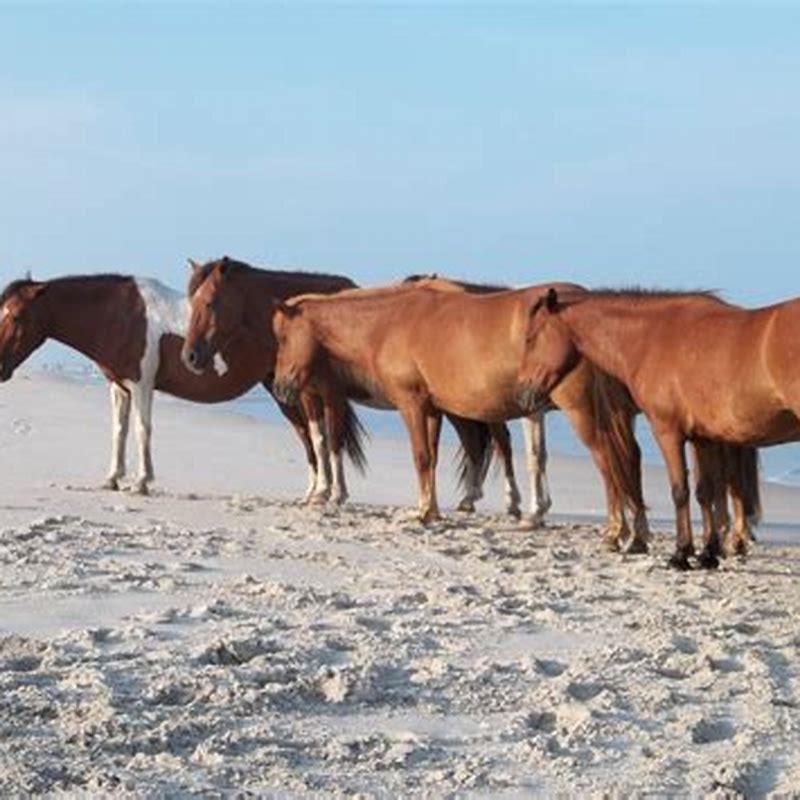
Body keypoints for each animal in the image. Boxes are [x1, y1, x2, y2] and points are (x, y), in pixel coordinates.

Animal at [0, 262, 360, 496]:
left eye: (16, 317)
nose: (1, 367)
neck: (120, 315)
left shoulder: (141, 384)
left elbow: (142, 429)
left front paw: (141, 482)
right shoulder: (119, 386)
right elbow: (119, 430)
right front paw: (112, 478)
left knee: (323, 432)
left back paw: (328, 492)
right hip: (281, 388)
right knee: (308, 433)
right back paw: (314, 492)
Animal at [182, 262, 529, 515]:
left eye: (209, 303)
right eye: (191, 302)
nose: (190, 356)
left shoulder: (332, 395)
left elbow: (333, 441)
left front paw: (335, 493)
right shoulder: (308, 396)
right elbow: (316, 440)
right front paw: (317, 491)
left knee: (500, 440)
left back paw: (510, 501)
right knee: (473, 441)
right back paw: (469, 499)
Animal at [271, 280, 650, 549]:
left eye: (284, 338)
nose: (280, 386)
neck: (391, 323)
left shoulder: (409, 405)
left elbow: (420, 456)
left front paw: (422, 512)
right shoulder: (431, 409)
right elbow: (432, 457)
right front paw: (432, 508)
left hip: (581, 410)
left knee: (607, 460)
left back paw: (615, 531)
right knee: (628, 458)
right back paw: (634, 533)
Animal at [517, 287, 781, 569]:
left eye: (530, 339)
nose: (523, 395)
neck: (651, 340)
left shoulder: (659, 430)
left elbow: (655, 480)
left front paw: (664, 547)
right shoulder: (697, 434)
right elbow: (700, 488)